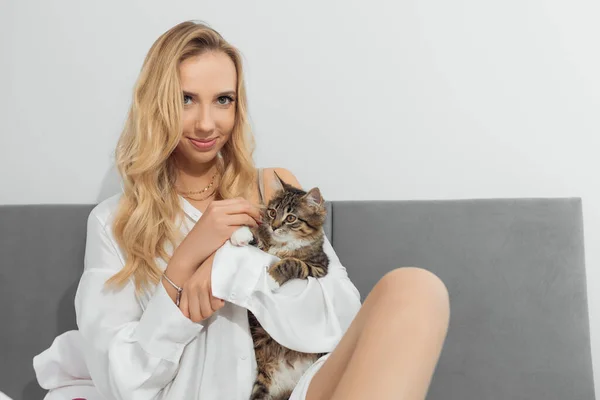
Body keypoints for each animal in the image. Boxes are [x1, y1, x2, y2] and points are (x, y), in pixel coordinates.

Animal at [232, 172, 330, 400]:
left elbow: (292, 263)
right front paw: (241, 234)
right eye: (272, 212)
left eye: (291, 218)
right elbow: (256, 239)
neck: (282, 245)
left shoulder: (318, 268)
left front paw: (271, 278)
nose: (275, 226)